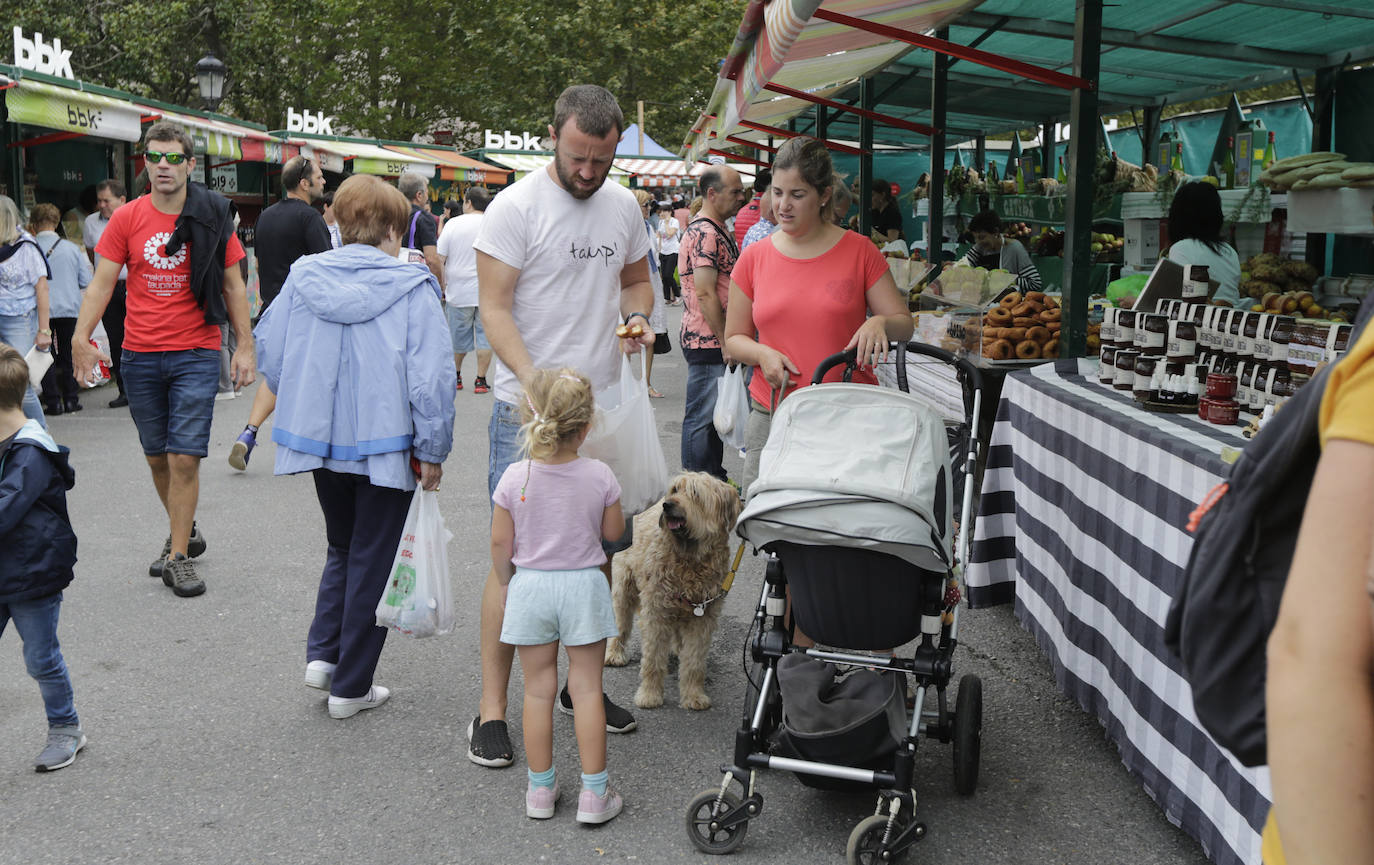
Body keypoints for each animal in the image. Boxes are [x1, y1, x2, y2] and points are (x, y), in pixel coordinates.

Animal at [607, 475, 741, 713]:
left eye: (695, 493)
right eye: (675, 489)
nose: (667, 505)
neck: (689, 558)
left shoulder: (703, 617)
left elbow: (694, 662)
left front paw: (694, 695)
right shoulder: (656, 613)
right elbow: (652, 660)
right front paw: (649, 695)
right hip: (624, 587)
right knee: (621, 624)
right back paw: (614, 653)